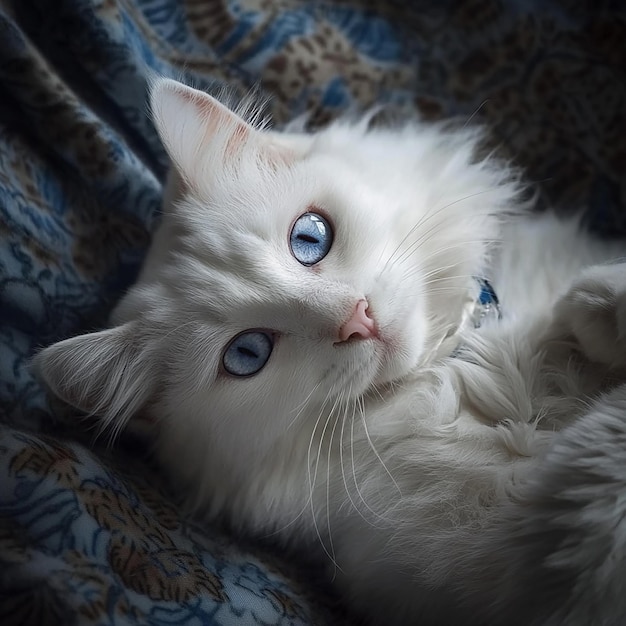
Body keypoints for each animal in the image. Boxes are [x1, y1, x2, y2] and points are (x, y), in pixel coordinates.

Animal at [35, 79, 626, 624]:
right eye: (247, 354)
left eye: (309, 238)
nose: (355, 320)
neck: (450, 362)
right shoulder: (543, 545)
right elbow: (603, 451)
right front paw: (594, 308)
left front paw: (592, 305)